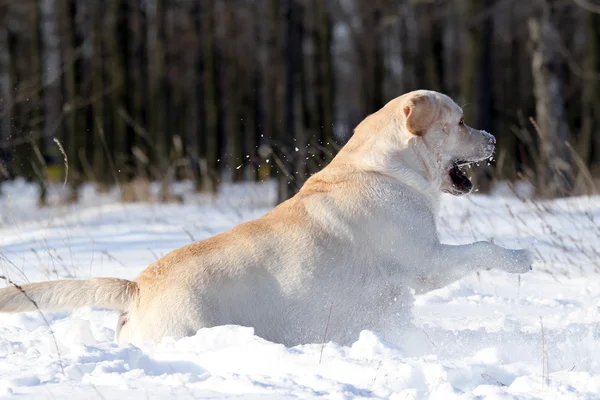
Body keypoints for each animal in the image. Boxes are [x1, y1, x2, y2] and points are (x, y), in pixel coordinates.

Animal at [0, 90, 532, 346]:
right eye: (459, 121)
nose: (493, 138)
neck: (387, 167)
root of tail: (137, 286)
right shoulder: (426, 263)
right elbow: (482, 249)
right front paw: (521, 257)